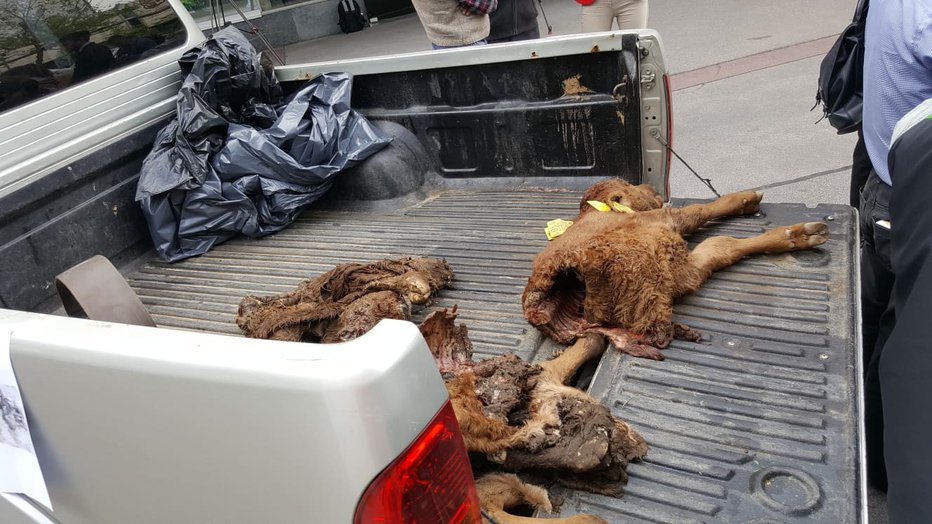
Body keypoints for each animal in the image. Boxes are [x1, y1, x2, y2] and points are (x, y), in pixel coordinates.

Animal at [524, 178, 832, 358]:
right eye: (629, 185)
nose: (653, 189)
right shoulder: (668, 218)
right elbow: (701, 211)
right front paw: (744, 200)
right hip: (661, 268)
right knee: (721, 247)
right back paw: (796, 234)